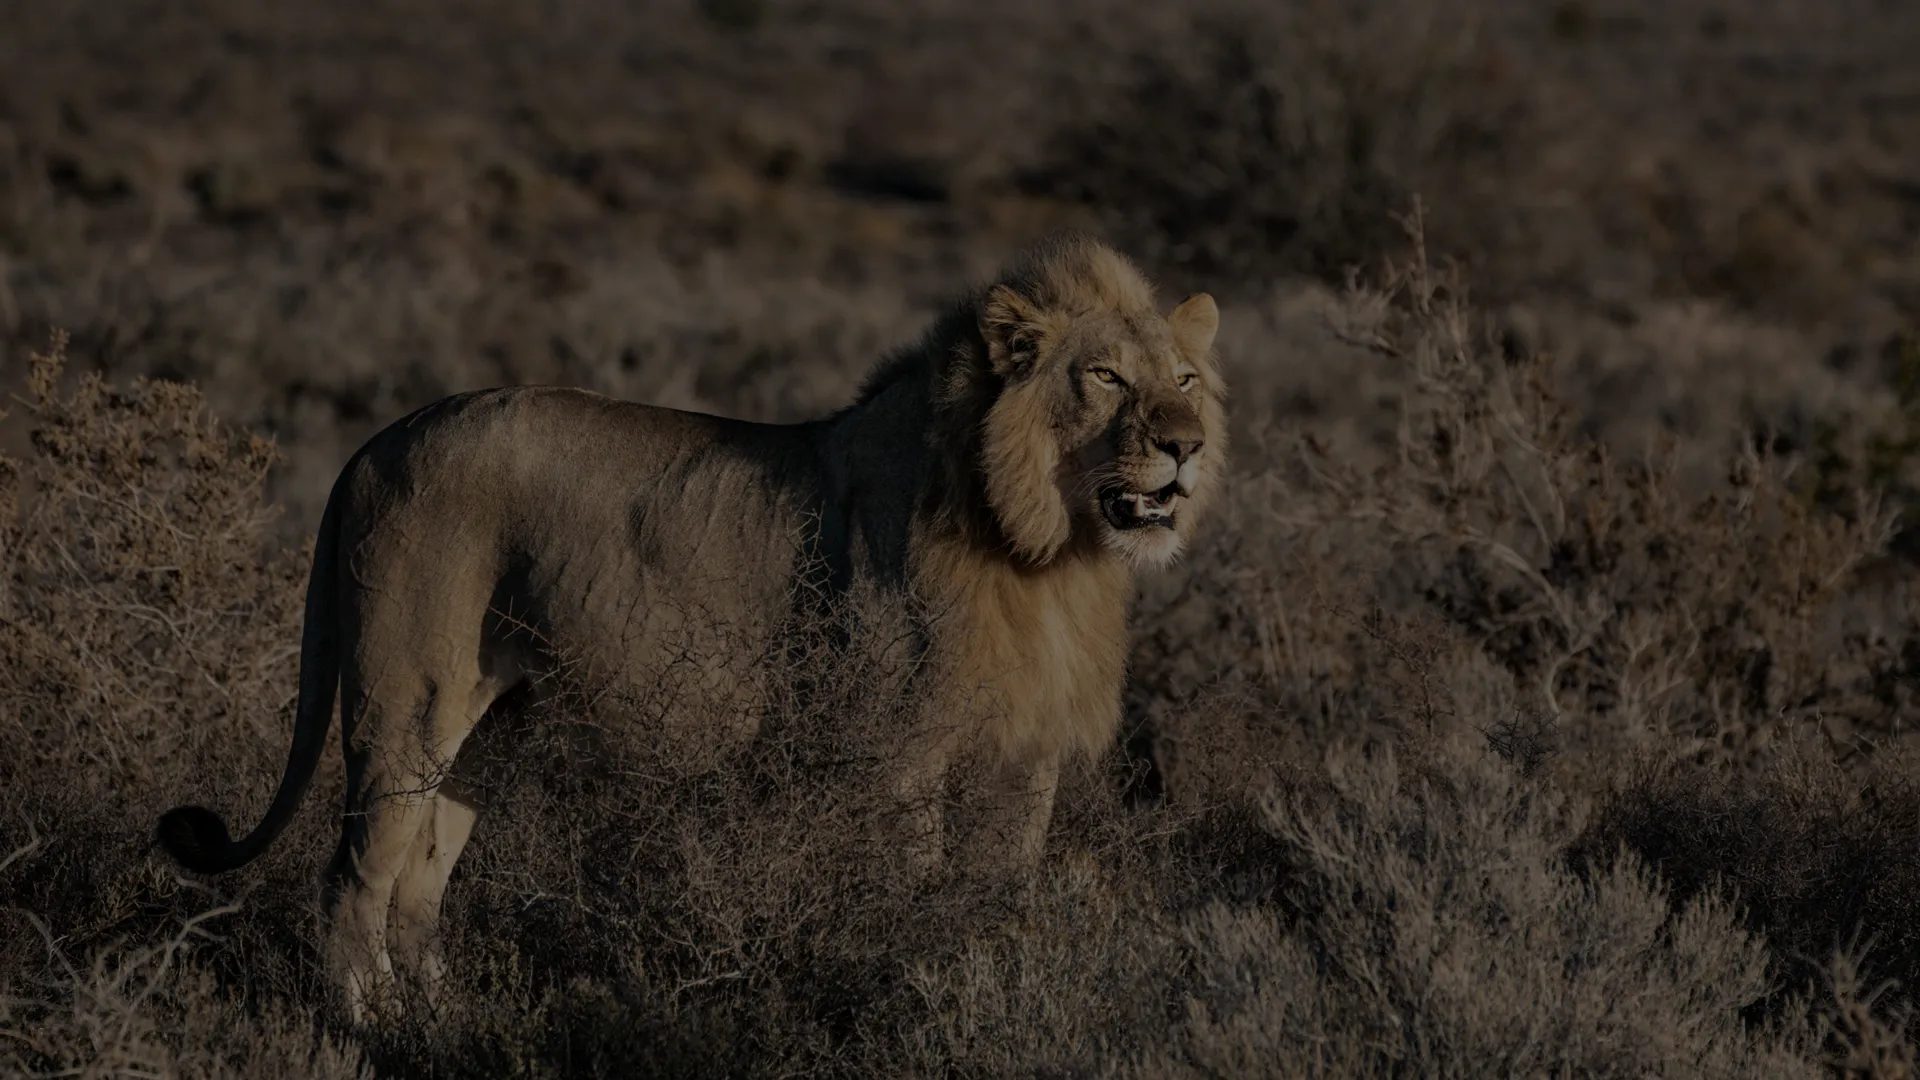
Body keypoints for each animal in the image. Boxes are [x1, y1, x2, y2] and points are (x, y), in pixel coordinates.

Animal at [155, 233, 1227, 1022]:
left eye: (1184, 379)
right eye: (1106, 378)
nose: (1185, 446)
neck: (1050, 552)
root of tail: (373, 444)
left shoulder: (1024, 756)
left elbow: (1000, 895)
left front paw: (994, 982)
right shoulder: (900, 752)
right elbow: (914, 894)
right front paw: (914, 988)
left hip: (492, 728)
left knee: (420, 882)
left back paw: (443, 1022)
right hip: (405, 703)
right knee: (352, 879)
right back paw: (368, 1029)